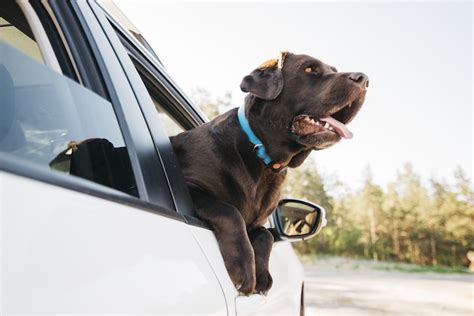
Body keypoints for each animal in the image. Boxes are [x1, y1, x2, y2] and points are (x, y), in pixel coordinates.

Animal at [168, 50, 368, 296]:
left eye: (333, 70)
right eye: (310, 69)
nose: (364, 79)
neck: (262, 156)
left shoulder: (257, 223)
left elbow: (266, 235)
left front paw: (262, 275)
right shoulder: (189, 185)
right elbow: (230, 211)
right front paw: (244, 269)